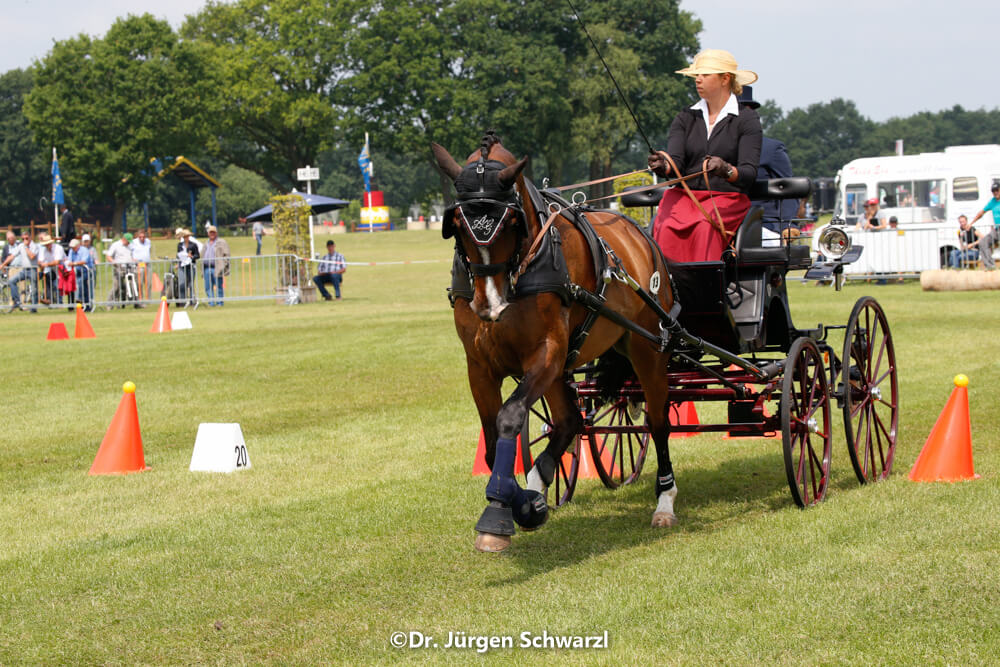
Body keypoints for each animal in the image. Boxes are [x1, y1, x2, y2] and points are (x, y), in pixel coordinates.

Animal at [430, 132, 680, 552]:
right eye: (458, 225)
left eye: (511, 222)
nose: (488, 304)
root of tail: (638, 234)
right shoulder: (479, 365)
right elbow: (493, 435)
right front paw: (517, 501)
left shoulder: (546, 352)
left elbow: (511, 416)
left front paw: (499, 511)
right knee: (569, 421)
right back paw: (538, 486)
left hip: (647, 347)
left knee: (658, 423)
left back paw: (664, 501)